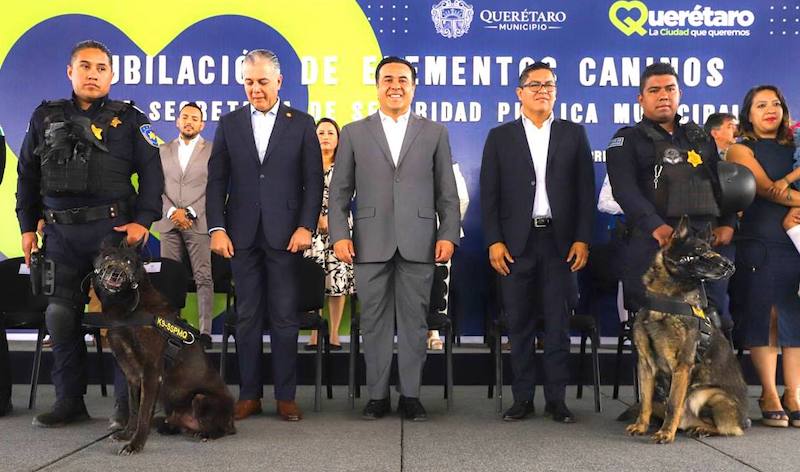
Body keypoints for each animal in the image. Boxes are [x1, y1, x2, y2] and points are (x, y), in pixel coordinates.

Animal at [92, 242, 234, 456]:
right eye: (108, 257)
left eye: (128, 261)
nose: (115, 273)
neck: (130, 307)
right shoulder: (132, 376)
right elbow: (135, 410)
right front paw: (127, 434)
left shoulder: (151, 373)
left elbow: (143, 413)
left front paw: (135, 445)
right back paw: (173, 427)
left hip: (201, 398)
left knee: (222, 429)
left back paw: (206, 434)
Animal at [624, 219, 752, 444]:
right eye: (700, 250)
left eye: (711, 249)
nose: (730, 265)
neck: (666, 301)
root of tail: (745, 420)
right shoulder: (645, 364)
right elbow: (645, 401)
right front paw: (641, 426)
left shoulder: (682, 366)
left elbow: (673, 403)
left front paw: (666, 433)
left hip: (708, 395)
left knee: (727, 428)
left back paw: (701, 430)